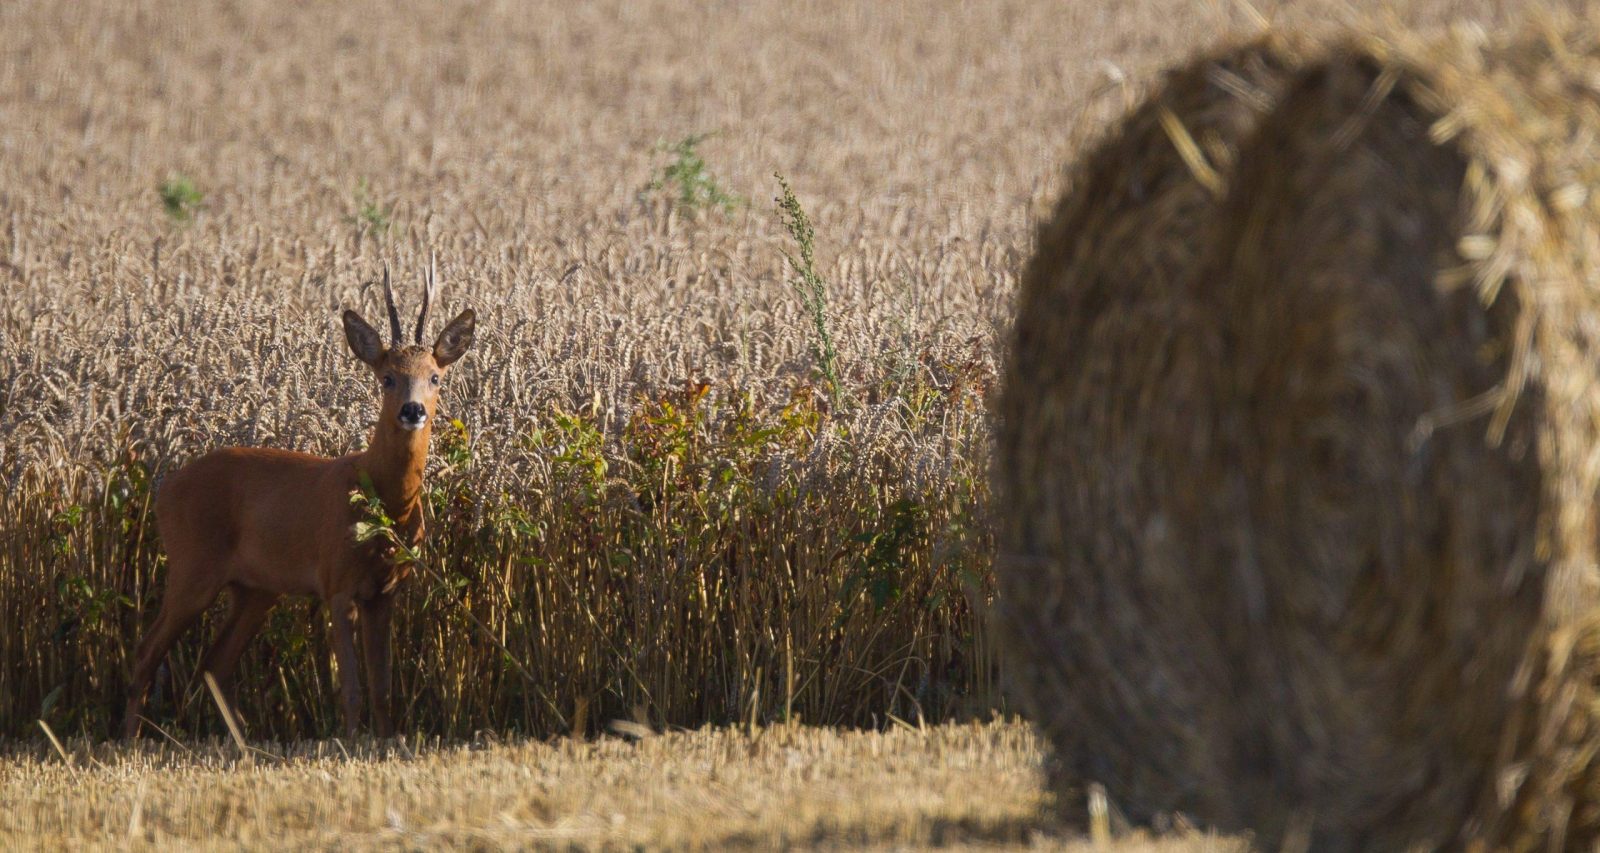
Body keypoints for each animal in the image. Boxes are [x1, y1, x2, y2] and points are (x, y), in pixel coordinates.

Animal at [124, 262, 473, 736]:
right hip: (192, 565)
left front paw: (385, 741)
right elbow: (352, 689)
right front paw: (351, 741)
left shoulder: (385, 592)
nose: (413, 410)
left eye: (435, 377)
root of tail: (163, 489)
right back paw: (129, 740)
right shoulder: (335, 580)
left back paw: (245, 741)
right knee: (147, 652)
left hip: (255, 588)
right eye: (387, 378)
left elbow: (382, 689)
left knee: (215, 661)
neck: (383, 503)